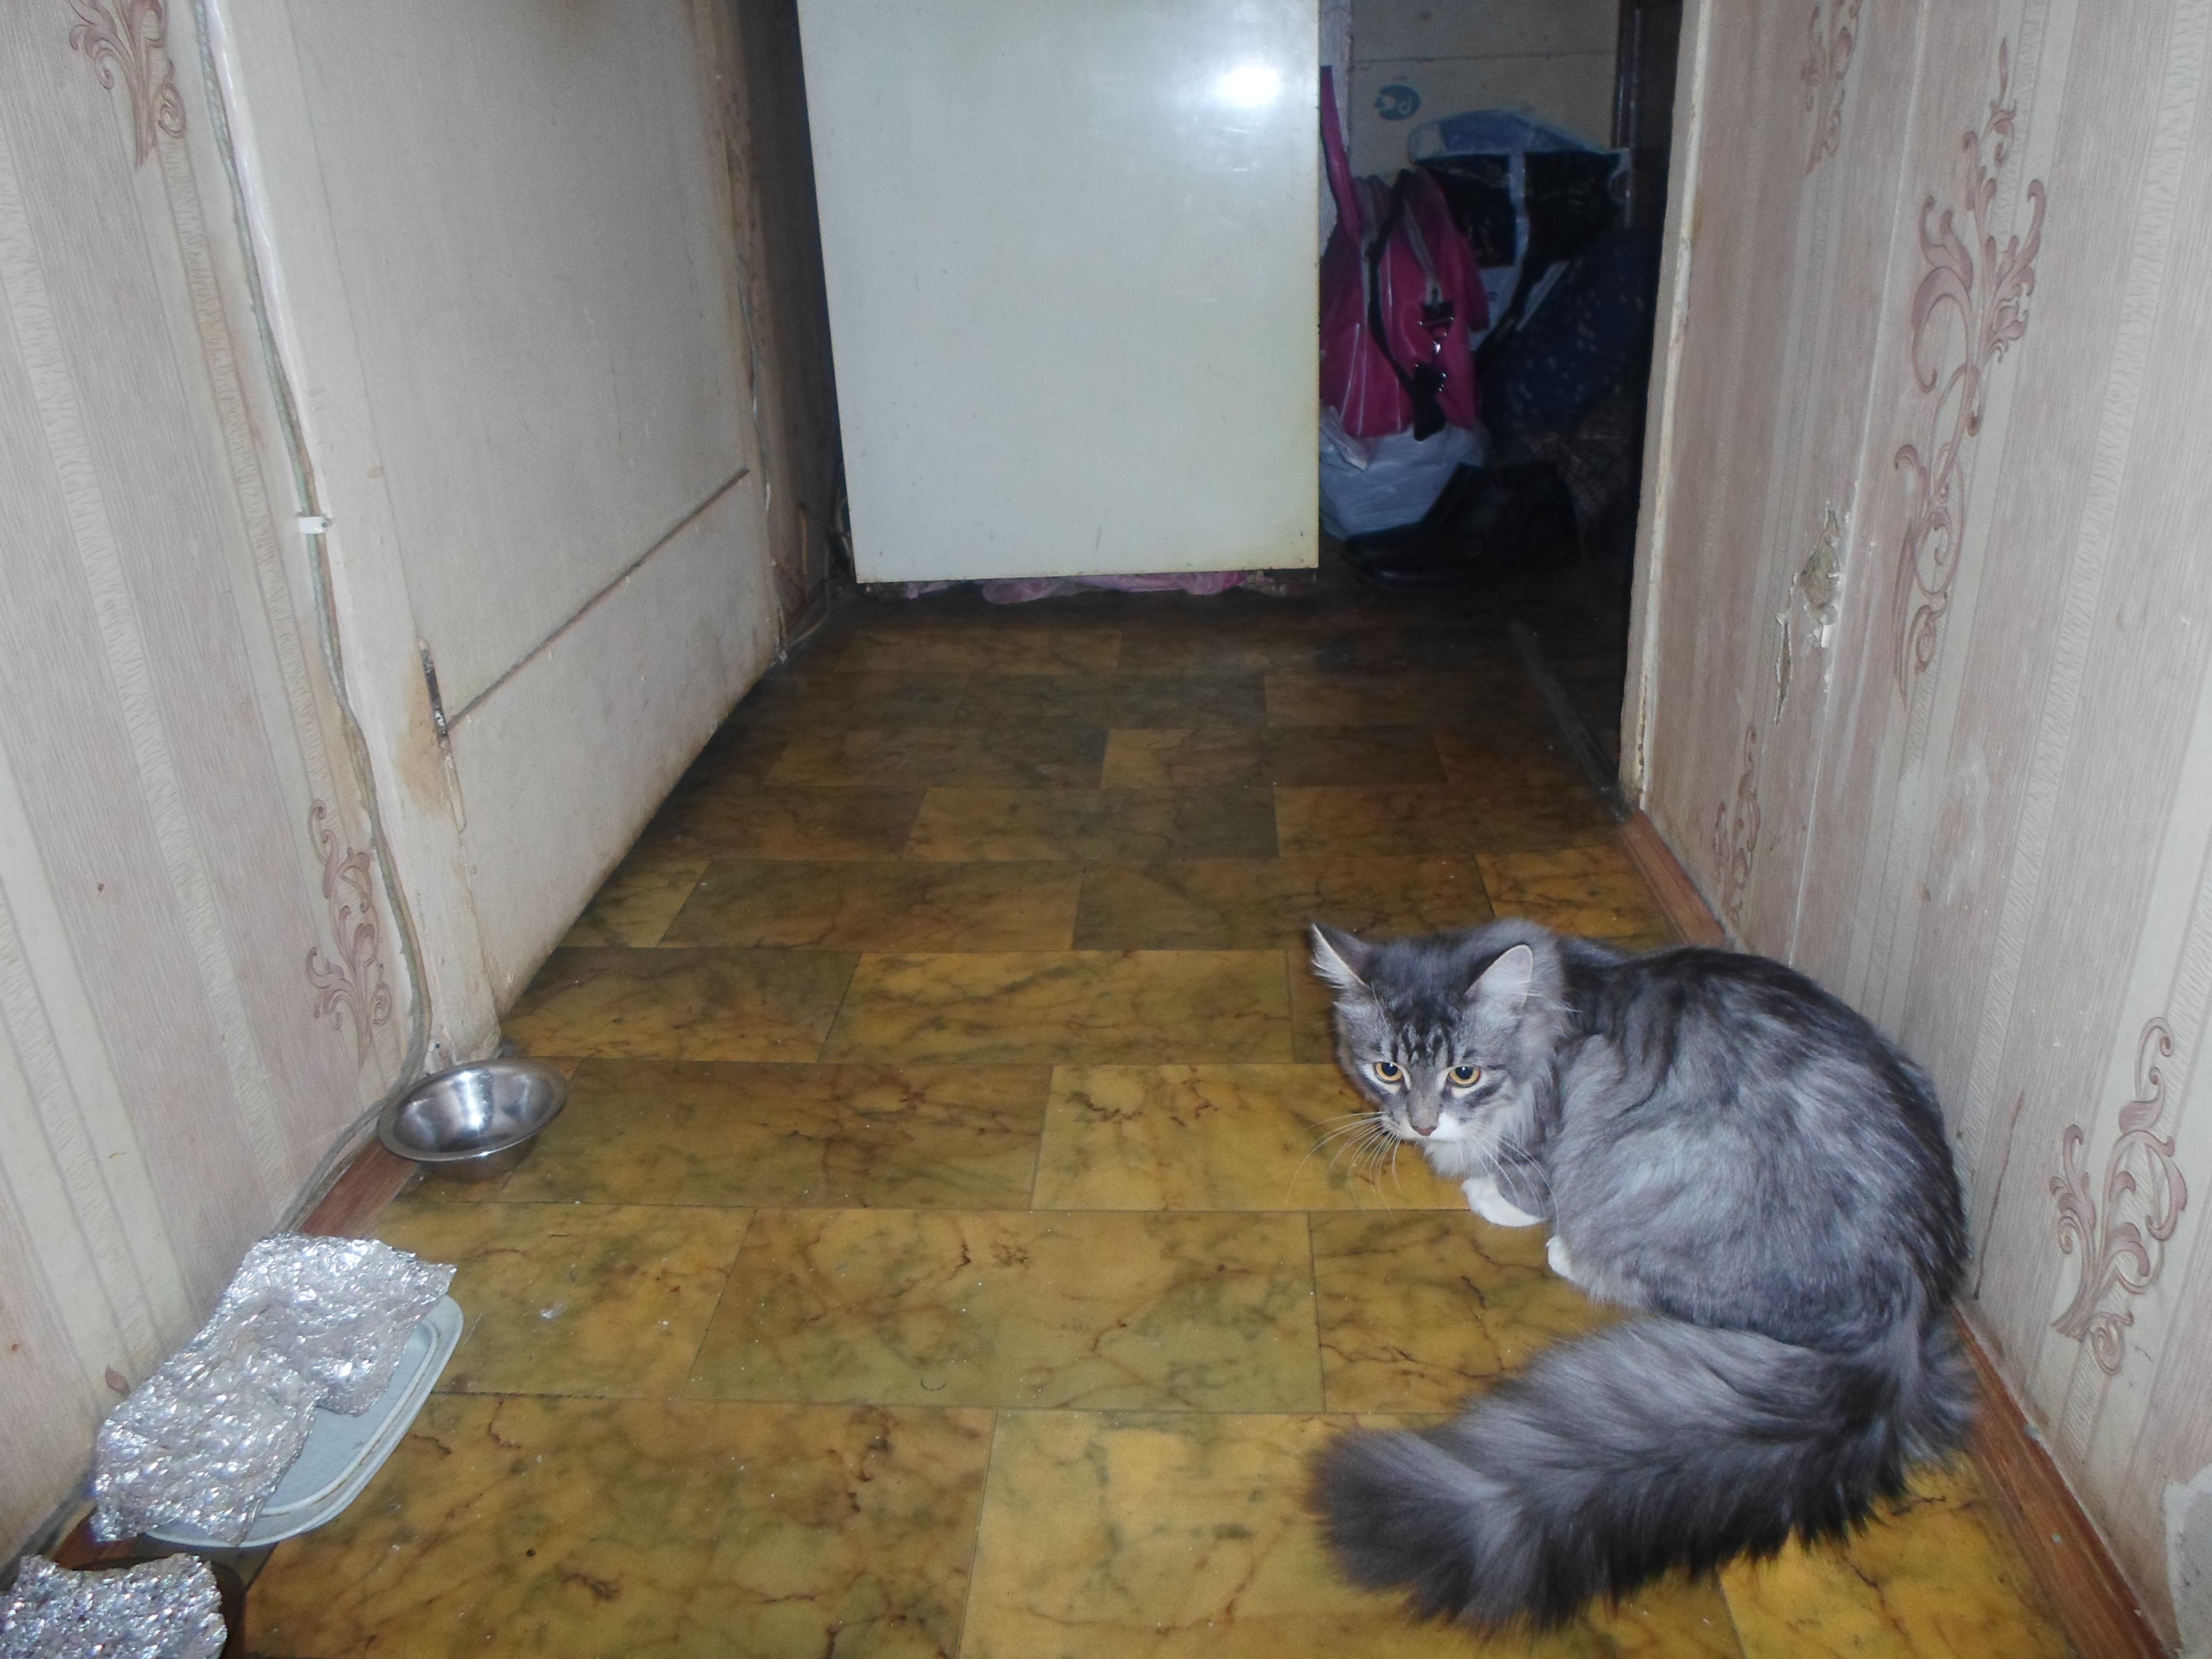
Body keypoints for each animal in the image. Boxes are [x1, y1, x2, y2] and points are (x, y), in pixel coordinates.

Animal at [1305, 917, 1971, 1629]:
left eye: (1465, 1073)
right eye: (1389, 1069)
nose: (1421, 1123)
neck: (1556, 1013)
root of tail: (1907, 1315)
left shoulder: (1567, 1098)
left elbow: (1529, 1172)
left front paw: (1495, 1194)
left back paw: (1572, 1252)